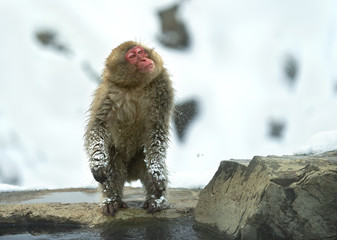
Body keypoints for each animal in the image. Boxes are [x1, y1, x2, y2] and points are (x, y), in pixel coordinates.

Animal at [84, 40, 173, 216]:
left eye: (141, 52)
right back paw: (112, 201)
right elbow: (98, 126)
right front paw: (98, 163)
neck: (135, 86)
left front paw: (157, 173)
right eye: (132, 57)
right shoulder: (108, 93)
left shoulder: (162, 87)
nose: (144, 59)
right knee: (112, 165)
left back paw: (156, 201)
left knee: (146, 162)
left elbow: (156, 131)